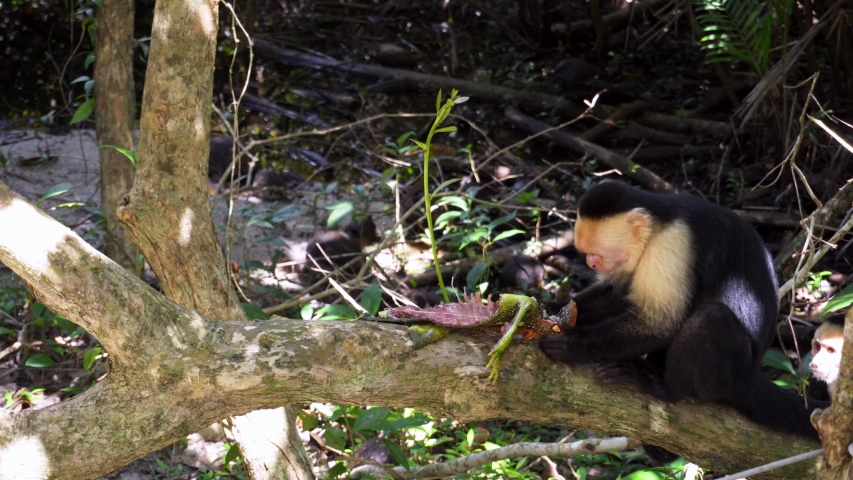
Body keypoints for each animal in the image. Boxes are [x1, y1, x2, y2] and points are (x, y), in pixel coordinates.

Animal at [544, 182, 816, 440]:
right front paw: (552, 308)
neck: (658, 225)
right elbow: (617, 294)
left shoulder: (672, 245)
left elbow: (661, 323)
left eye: (596, 253)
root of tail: (750, 377)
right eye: (587, 253)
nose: (591, 264)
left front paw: (573, 344)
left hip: (729, 376)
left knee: (713, 318)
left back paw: (661, 387)